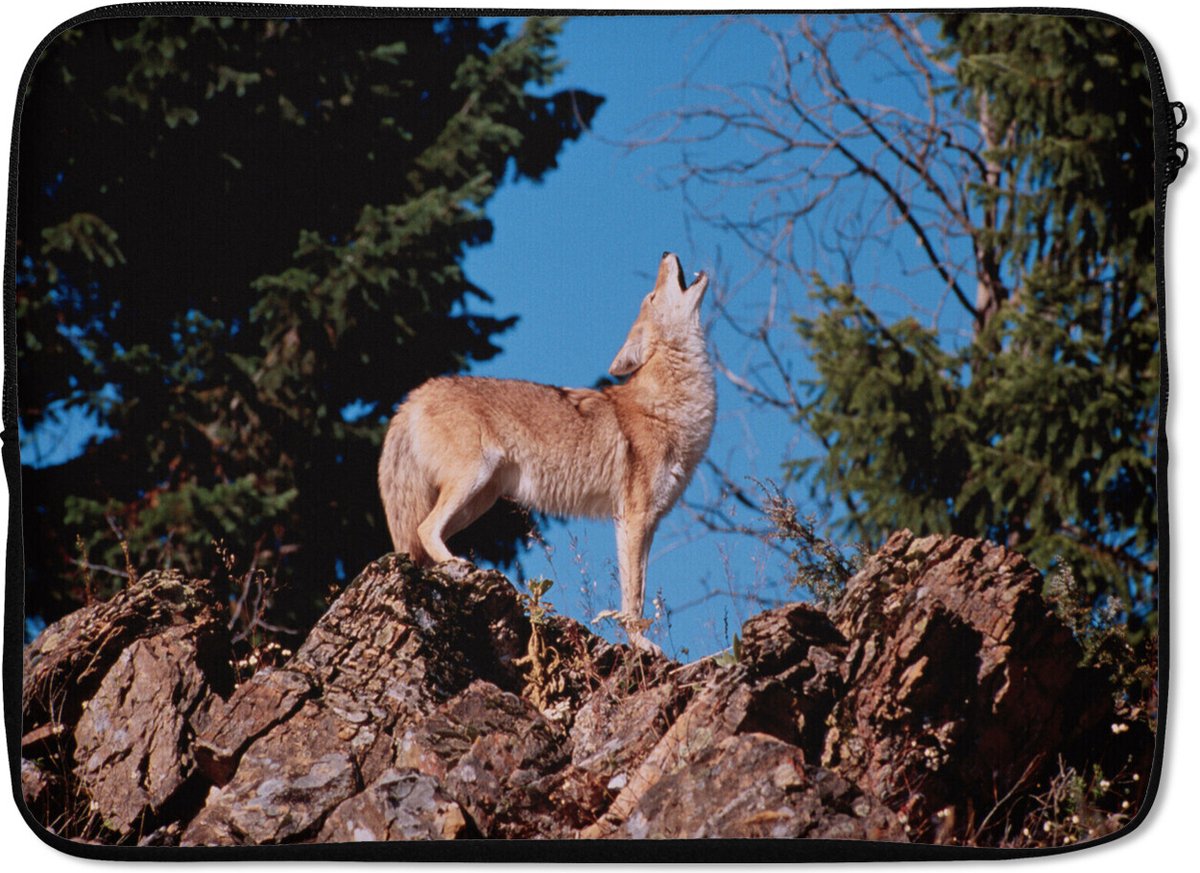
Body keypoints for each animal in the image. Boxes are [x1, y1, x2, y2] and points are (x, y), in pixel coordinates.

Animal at [377, 252, 715, 652]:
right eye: (650, 296)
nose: (665, 253)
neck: (670, 404)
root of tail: (415, 395)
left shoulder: (643, 523)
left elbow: (637, 592)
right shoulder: (634, 518)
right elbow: (634, 597)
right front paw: (640, 643)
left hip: (477, 501)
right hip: (471, 481)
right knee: (426, 529)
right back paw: (463, 567)